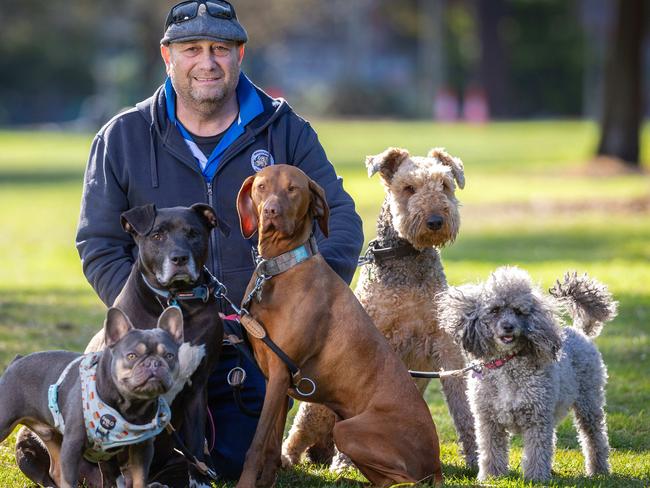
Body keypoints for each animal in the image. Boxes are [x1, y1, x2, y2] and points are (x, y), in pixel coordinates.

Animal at [233, 165, 440, 488]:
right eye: (261, 187)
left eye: (293, 188)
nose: (271, 211)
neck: (280, 268)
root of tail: (437, 461)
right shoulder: (276, 378)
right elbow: (270, 447)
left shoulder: (279, 373)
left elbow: (256, 445)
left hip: (347, 429)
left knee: (403, 481)